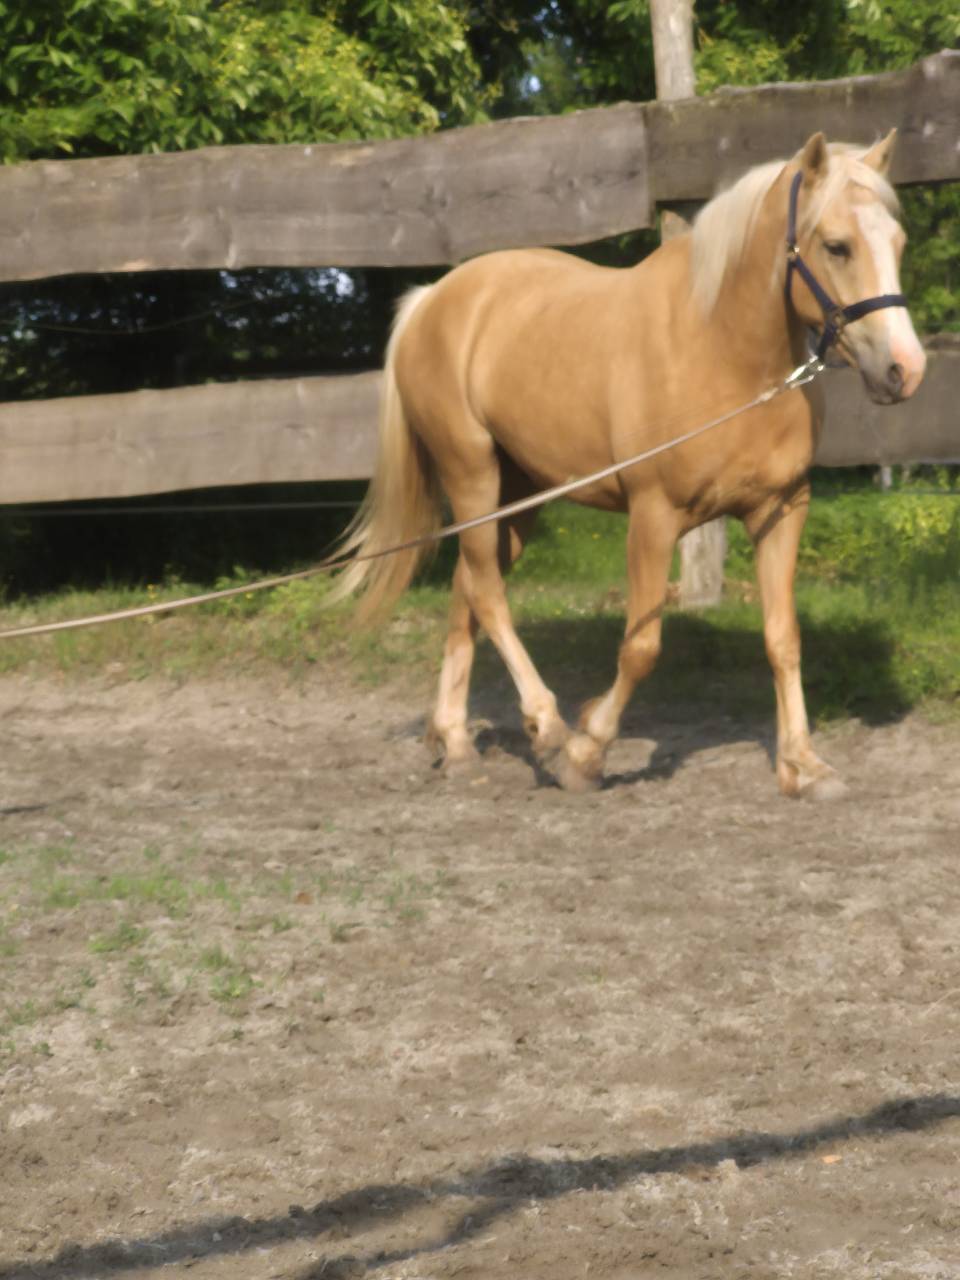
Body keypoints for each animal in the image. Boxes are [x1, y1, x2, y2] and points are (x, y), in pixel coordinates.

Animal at [331, 130, 926, 799]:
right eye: (836, 245)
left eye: (898, 242)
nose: (905, 369)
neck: (723, 353)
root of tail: (431, 299)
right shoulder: (654, 517)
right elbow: (641, 648)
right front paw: (587, 750)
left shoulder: (781, 510)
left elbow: (783, 638)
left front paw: (804, 765)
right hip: (472, 474)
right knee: (486, 591)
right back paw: (546, 726)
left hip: (517, 496)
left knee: (468, 589)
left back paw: (456, 741)